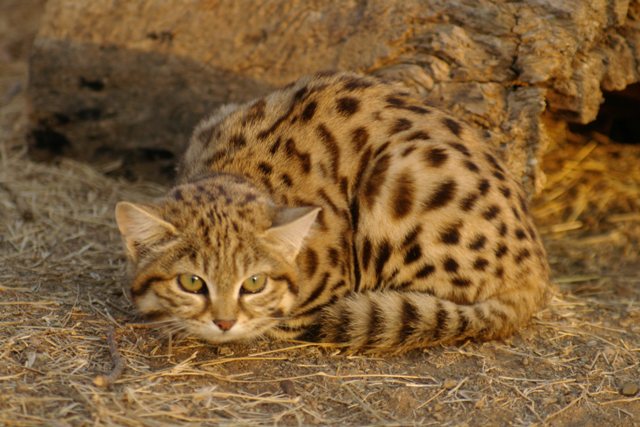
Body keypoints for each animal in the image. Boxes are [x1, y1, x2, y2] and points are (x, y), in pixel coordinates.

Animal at [116, 72, 552, 352]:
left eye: (254, 283)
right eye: (191, 282)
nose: (224, 322)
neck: (237, 168)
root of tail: (534, 273)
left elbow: (278, 321)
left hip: (395, 180)